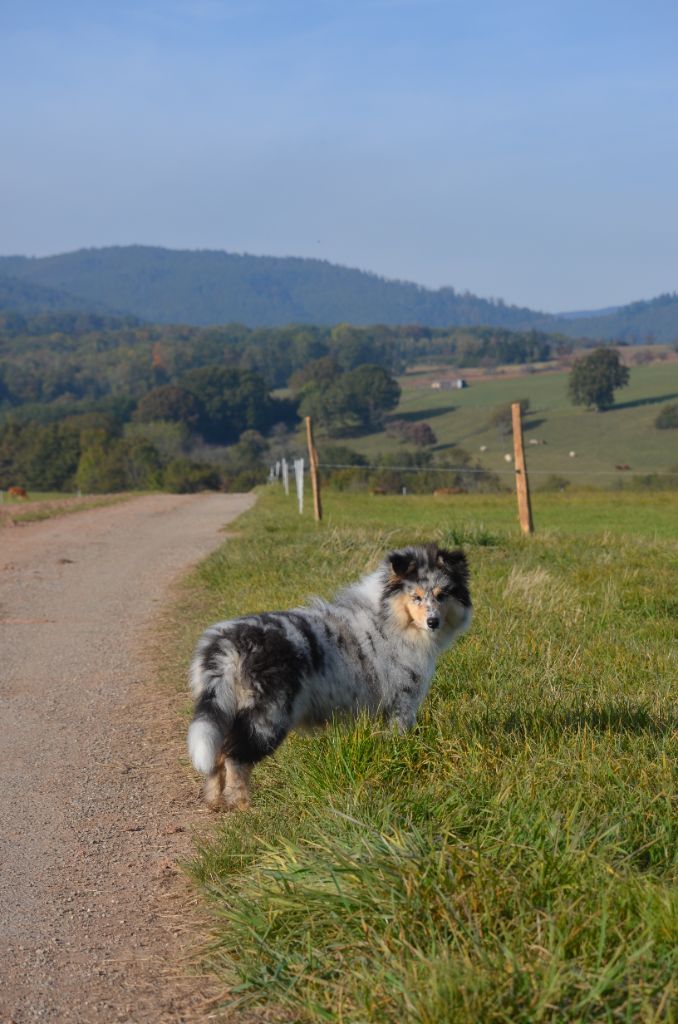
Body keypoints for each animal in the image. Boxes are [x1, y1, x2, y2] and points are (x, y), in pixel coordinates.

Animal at [187, 544, 473, 806]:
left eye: (442, 595)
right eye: (416, 596)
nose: (433, 622)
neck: (390, 619)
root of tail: (227, 643)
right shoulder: (402, 704)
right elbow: (400, 737)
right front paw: (400, 758)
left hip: (226, 708)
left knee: (217, 756)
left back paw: (215, 801)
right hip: (267, 715)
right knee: (234, 757)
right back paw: (243, 804)